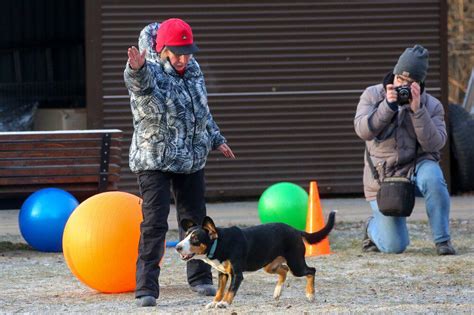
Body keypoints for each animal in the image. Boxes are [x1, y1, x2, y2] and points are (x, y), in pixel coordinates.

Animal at [176, 211, 336, 310]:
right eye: (185, 235)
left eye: (195, 239)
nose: (177, 247)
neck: (220, 243)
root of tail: (296, 230)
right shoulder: (223, 274)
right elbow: (220, 291)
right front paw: (215, 302)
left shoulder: (236, 274)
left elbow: (230, 291)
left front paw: (224, 304)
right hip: (269, 265)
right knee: (284, 270)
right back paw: (277, 292)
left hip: (296, 264)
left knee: (311, 271)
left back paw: (310, 294)